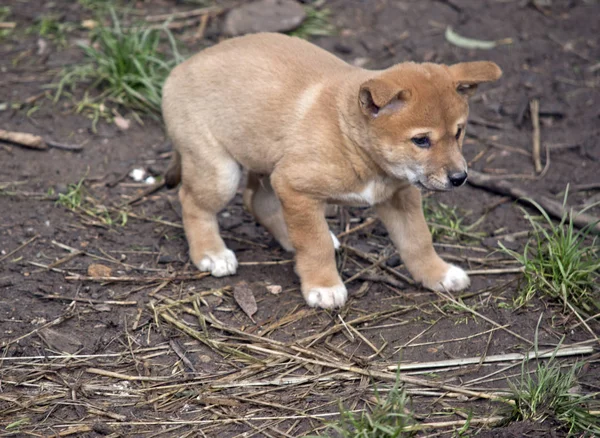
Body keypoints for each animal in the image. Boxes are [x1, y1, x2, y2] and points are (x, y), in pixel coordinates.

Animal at [161, 31, 502, 308]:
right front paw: (323, 286)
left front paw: (437, 273)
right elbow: (315, 244)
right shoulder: (295, 187)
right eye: (421, 140)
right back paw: (211, 253)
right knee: (192, 202)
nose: (460, 178)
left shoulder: (400, 196)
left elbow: (417, 239)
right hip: (221, 172)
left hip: (267, 164)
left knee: (257, 201)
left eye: (458, 132)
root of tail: (177, 71)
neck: (351, 140)